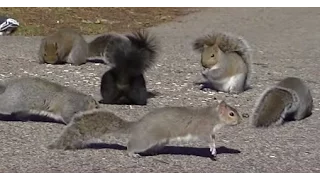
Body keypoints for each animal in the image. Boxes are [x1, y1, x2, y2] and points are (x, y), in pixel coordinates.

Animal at [48, 100, 242, 160]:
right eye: (232, 114)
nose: (241, 120)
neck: (213, 116)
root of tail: (138, 125)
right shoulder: (203, 128)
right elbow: (207, 139)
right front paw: (212, 149)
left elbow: (214, 138)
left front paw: (215, 148)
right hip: (146, 139)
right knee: (131, 145)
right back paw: (132, 153)